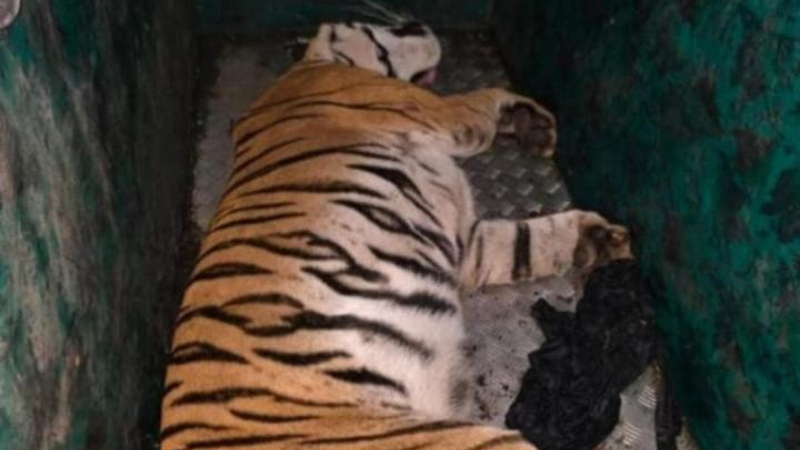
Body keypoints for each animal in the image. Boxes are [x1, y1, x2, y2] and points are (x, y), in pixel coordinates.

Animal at [160, 18, 632, 450]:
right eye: (385, 27)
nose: (417, 22)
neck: (314, 62)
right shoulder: (440, 113)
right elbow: (484, 96)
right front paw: (527, 117)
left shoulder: (468, 244)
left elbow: (527, 242)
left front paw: (594, 237)